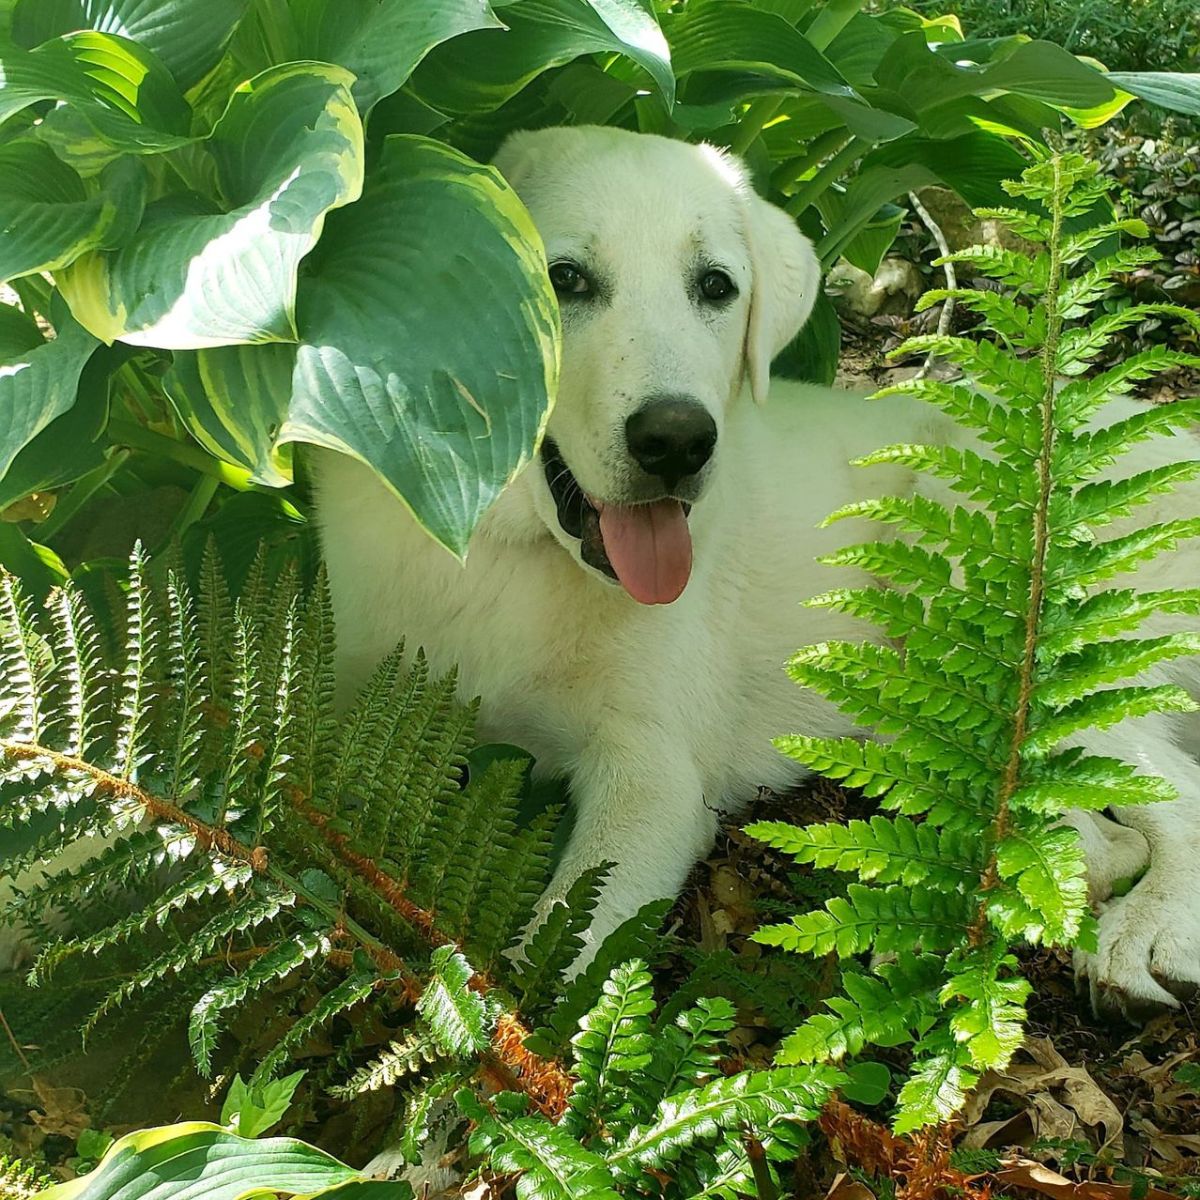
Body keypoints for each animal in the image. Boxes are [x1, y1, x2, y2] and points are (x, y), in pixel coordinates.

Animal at [312, 129, 1200, 1012]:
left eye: (715, 286)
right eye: (563, 280)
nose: (678, 440)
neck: (499, 551)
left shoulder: (653, 782)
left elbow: (556, 964)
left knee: (1174, 796)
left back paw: (1143, 935)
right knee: (1096, 840)